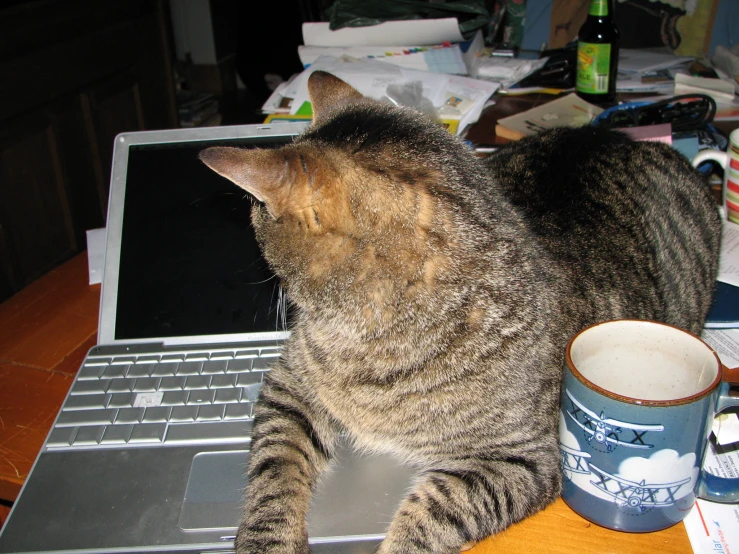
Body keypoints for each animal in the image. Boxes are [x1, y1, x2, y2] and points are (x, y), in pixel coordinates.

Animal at [198, 71, 724, 548]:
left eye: (256, 217)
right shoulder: (289, 385)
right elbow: (274, 470)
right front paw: (266, 541)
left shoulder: (525, 460)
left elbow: (429, 518)